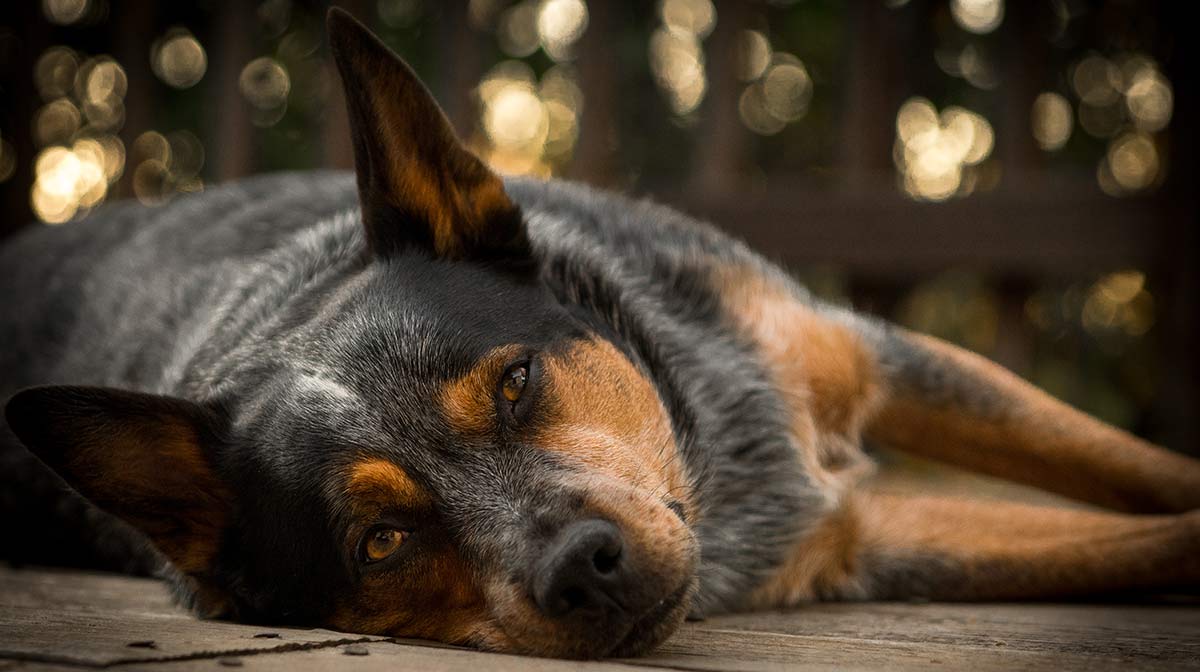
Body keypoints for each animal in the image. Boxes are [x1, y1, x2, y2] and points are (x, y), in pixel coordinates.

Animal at [2, 9, 1200, 662]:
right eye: (379, 542)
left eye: (517, 382)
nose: (584, 568)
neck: (719, 447)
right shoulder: (861, 544)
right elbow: (1151, 535)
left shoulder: (871, 356)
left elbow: (1138, 474)